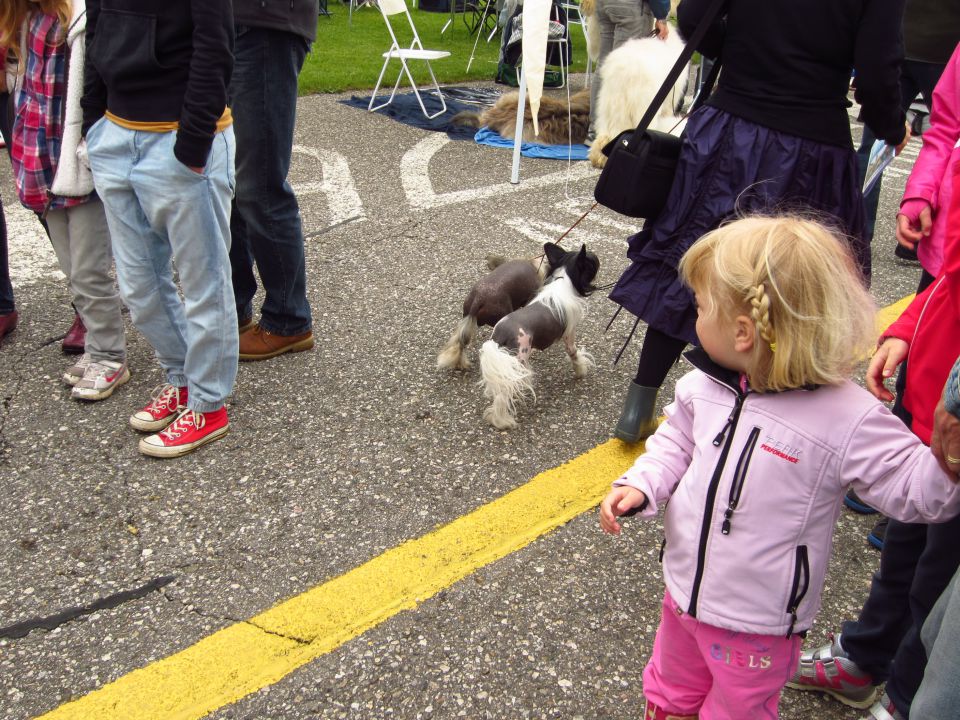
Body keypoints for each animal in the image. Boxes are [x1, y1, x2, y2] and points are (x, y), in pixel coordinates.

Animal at [588, 29, 688, 169]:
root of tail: (624, 71)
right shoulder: (668, 103)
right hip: (644, 111)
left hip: (608, 108)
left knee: (605, 137)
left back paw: (599, 159)